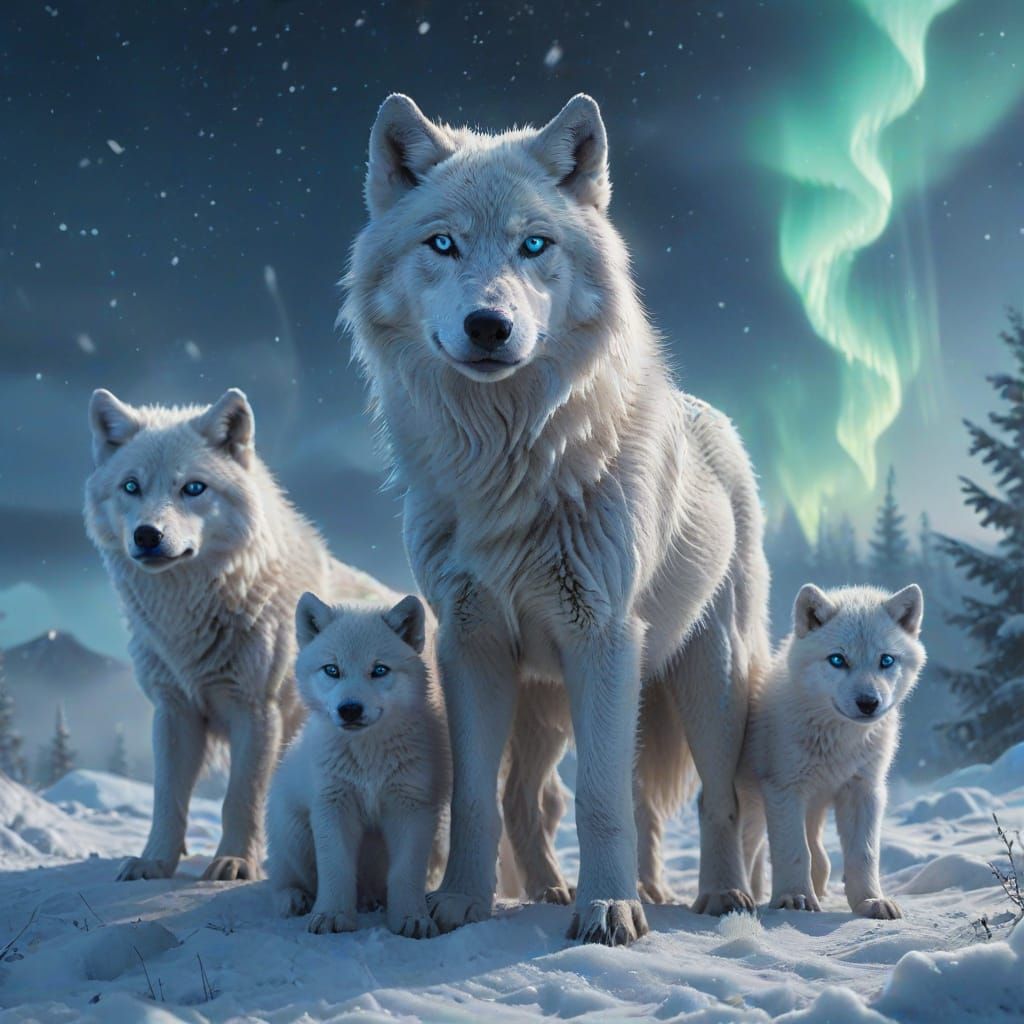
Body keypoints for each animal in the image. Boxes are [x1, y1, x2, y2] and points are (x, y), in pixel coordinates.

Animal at [84, 388, 392, 882]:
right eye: (131, 487)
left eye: (193, 488)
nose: (147, 535)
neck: (187, 621)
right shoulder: (174, 711)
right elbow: (167, 798)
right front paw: (154, 862)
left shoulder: (258, 711)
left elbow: (240, 797)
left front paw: (234, 862)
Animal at [267, 592, 448, 938]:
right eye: (332, 670)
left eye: (379, 670)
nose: (349, 709)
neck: (368, 760)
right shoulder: (333, 806)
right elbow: (336, 869)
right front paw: (331, 916)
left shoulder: (411, 809)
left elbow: (405, 873)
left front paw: (411, 919)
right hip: (295, 835)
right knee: (286, 880)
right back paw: (295, 899)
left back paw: (371, 902)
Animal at [342, 93, 771, 945]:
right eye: (443, 244)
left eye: (533, 244)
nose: (488, 325)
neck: (506, 463)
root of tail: (709, 415)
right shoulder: (470, 643)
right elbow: (476, 796)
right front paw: (460, 905)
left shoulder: (601, 636)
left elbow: (601, 800)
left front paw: (607, 910)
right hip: (549, 703)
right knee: (534, 797)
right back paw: (555, 889)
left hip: (705, 678)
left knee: (715, 797)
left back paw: (716, 896)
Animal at [739, 584, 926, 919]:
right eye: (838, 660)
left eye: (886, 660)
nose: (868, 703)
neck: (840, 741)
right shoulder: (784, 790)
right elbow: (794, 851)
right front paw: (795, 899)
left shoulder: (864, 790)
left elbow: (864, 854)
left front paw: (870, 901)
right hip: (755, 809)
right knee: (749, 851)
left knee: (819, 854)